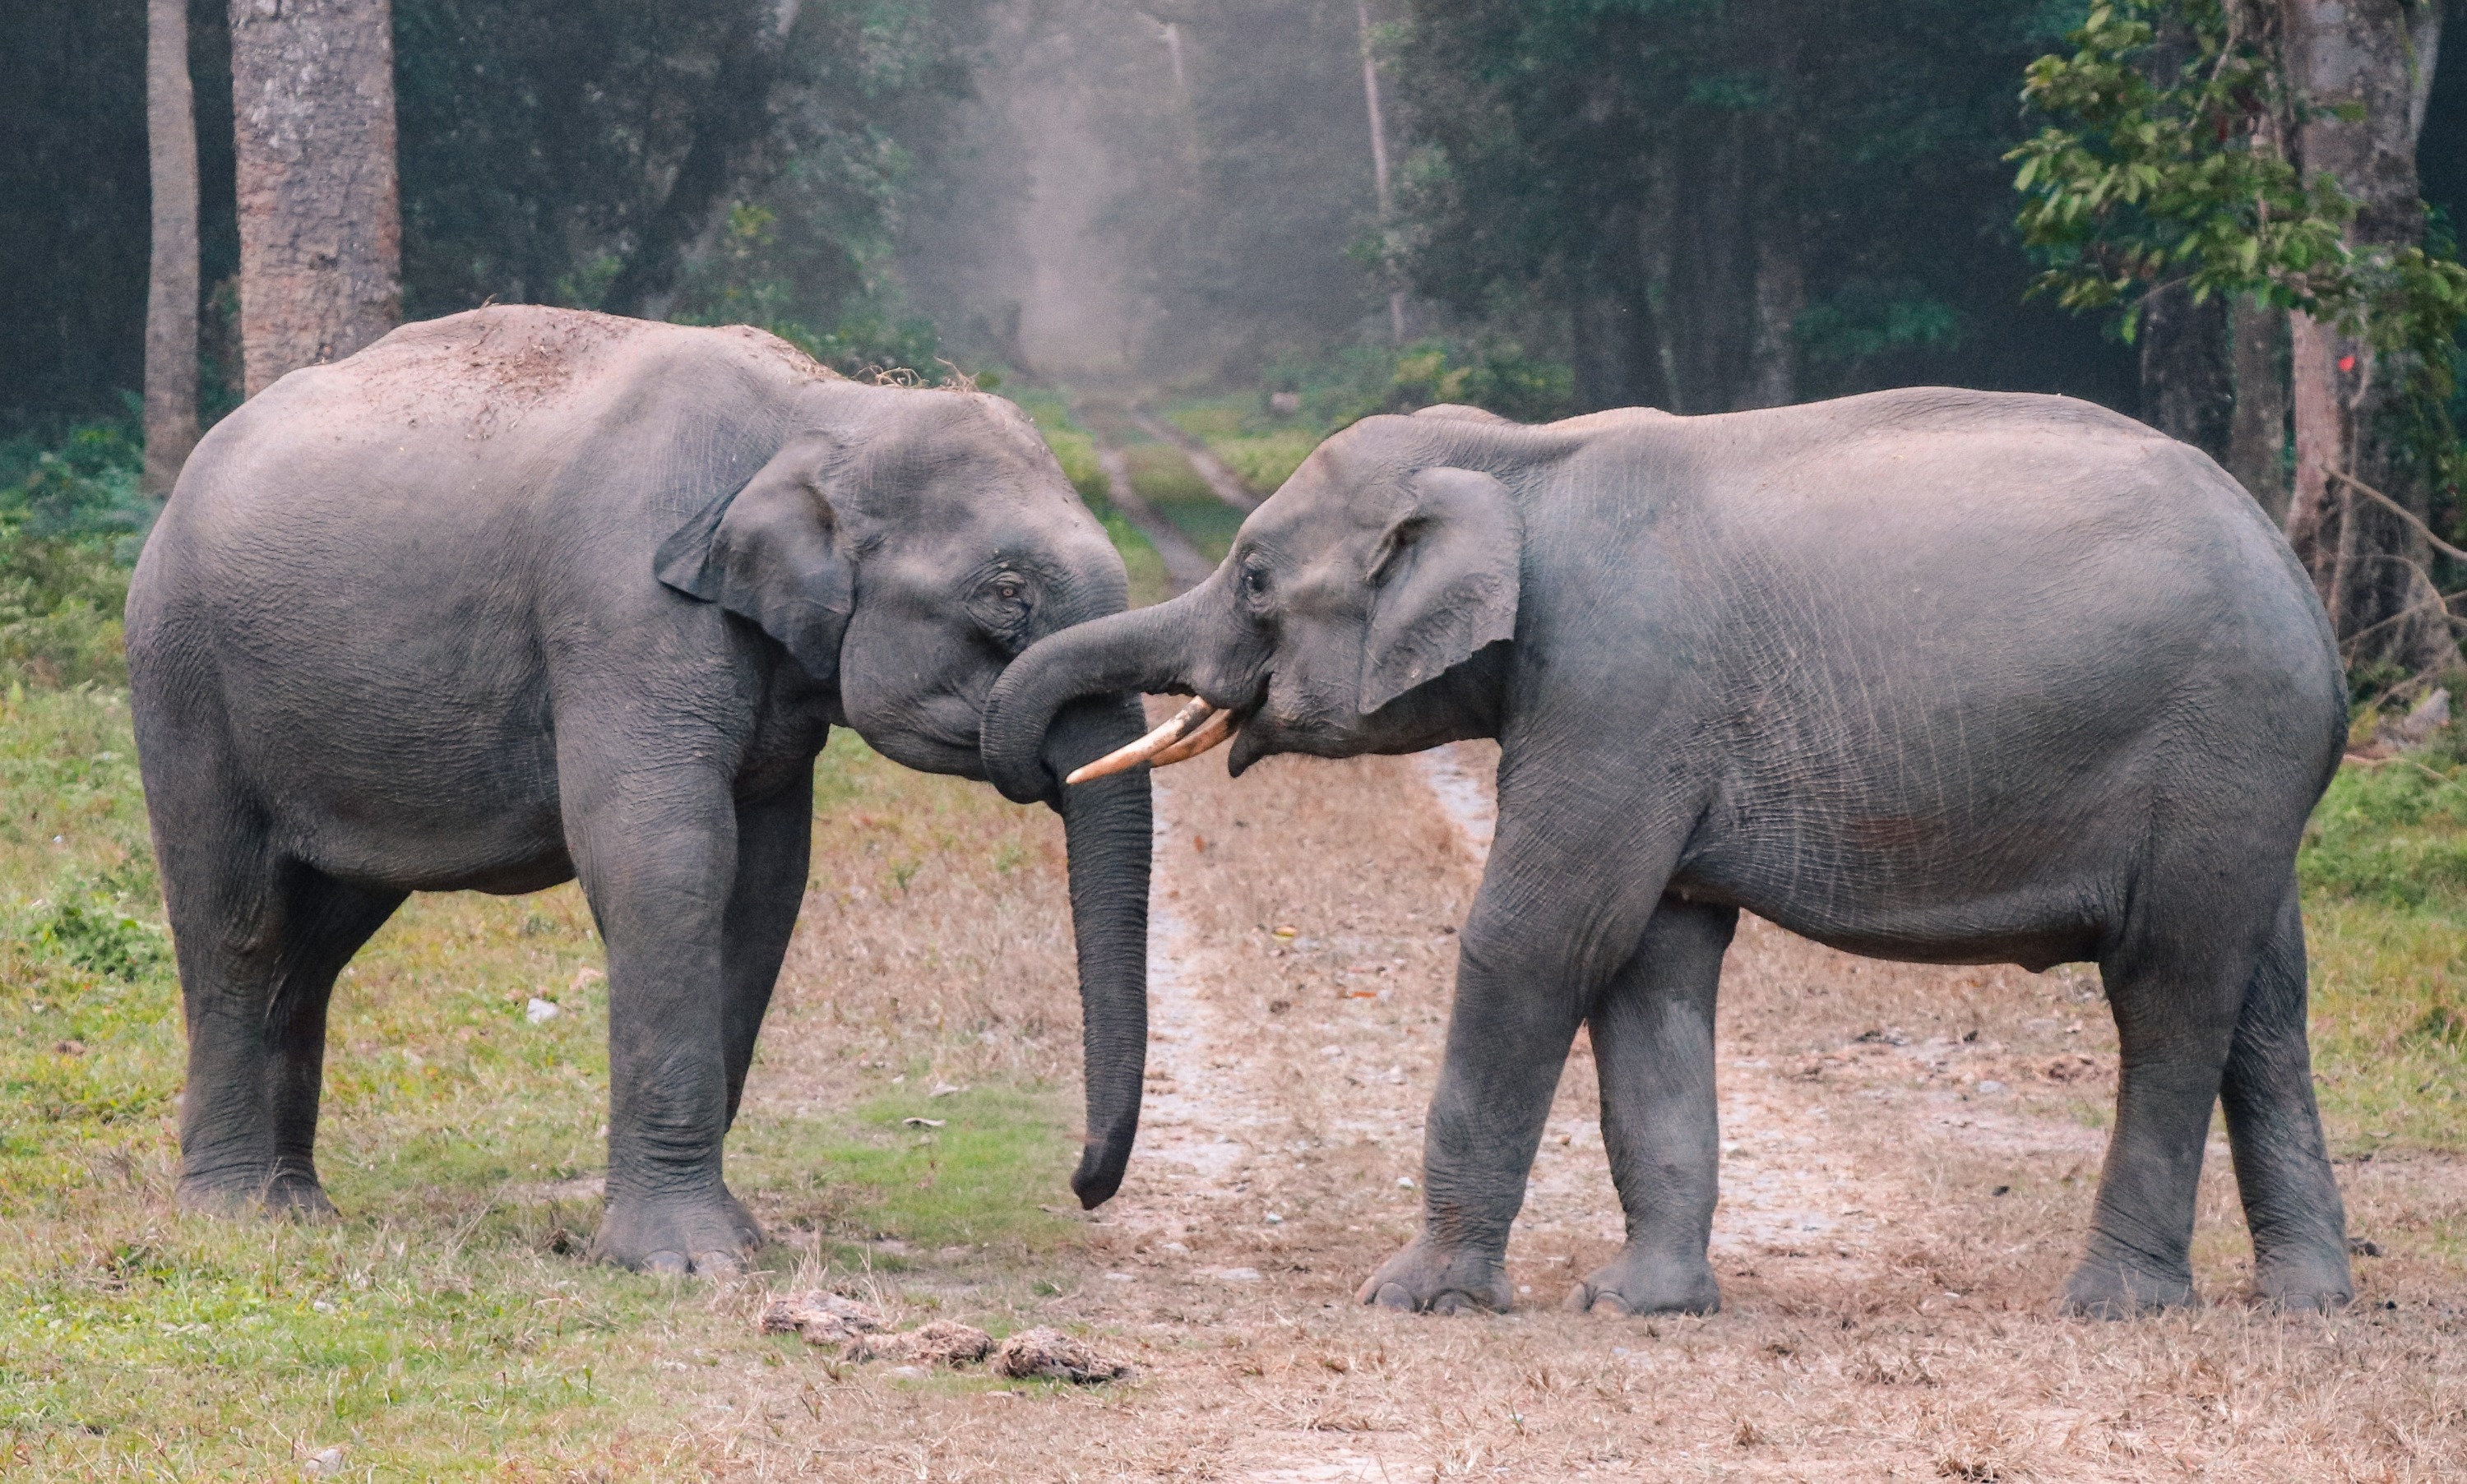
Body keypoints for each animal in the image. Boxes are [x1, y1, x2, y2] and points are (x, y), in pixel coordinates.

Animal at [127, 305, 1153, 1275]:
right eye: (1006, 593)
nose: (1083, 1183)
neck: (824, 408)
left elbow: (767, 884)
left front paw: (737, 1239)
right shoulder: (624, 612)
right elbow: (666, 863)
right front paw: (683, 1260)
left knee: (319, 941)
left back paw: (299, 1205)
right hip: (184, 675)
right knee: (238, 921)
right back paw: (234, 1211)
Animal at [982, 388, 2354, 1318]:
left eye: (1257, 578)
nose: (1085, 1191)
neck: (1520, 456)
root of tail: (2312, 601)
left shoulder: (1619, 690)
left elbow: (1539, 936)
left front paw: (1411, 1299)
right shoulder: (1641, 726)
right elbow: (1652, 960)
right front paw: (1639, 1306)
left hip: (2220, 745)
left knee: (2170, 994)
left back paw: (2113, 1305)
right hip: (2252, 780)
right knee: (2266, 1001)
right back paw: (2306, 1301)